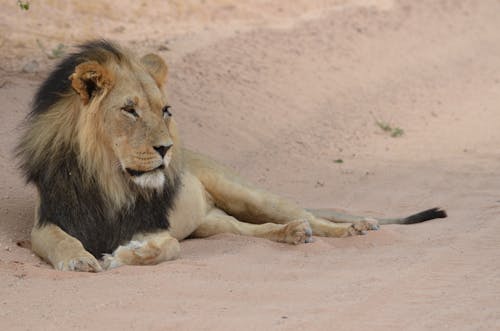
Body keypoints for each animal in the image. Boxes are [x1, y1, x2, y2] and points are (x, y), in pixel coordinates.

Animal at [15, 40, 448, 272]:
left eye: (165, 110)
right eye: (130, 110)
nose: (166, 149)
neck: (109, 177)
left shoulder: (154, 226)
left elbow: (167, 247)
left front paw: (125, 255)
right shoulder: (49, 221)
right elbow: (62, 243)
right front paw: (80, 260)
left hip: (247, 194)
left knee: (308, 216)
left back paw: (351, 228)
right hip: (213, 223)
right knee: (253, 230)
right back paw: (291, 235)